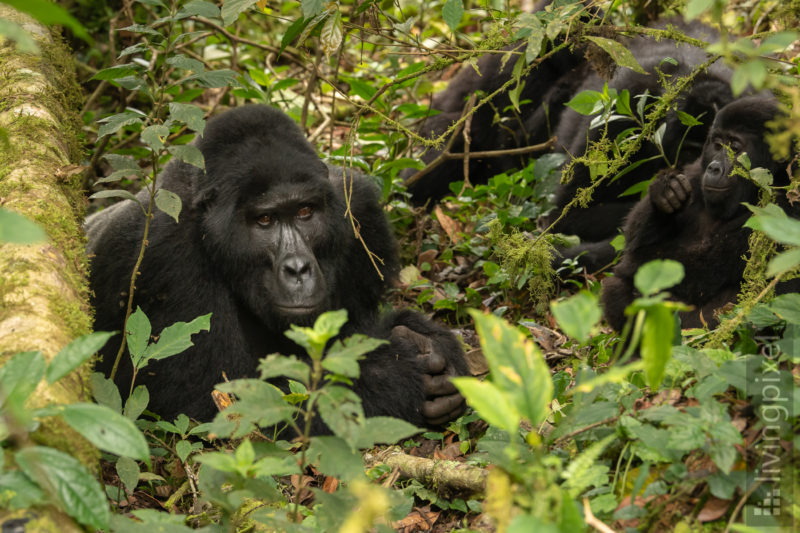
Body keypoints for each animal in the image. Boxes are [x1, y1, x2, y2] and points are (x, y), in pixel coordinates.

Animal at [87, 105, 468, 432]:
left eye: (305, 212)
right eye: (265, 220)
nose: (298, 268)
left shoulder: (358, 206)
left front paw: (427, 337)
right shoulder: (162, 253)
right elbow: (219, 408)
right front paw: (398, 368)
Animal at [600, 95, 792, 328]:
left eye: (735, 148)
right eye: (717, 145)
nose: (714, 168)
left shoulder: (784, 206)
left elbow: (699, 271)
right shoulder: (695, 173)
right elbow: (636, 242)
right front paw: (663, 192)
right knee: (616, 289)